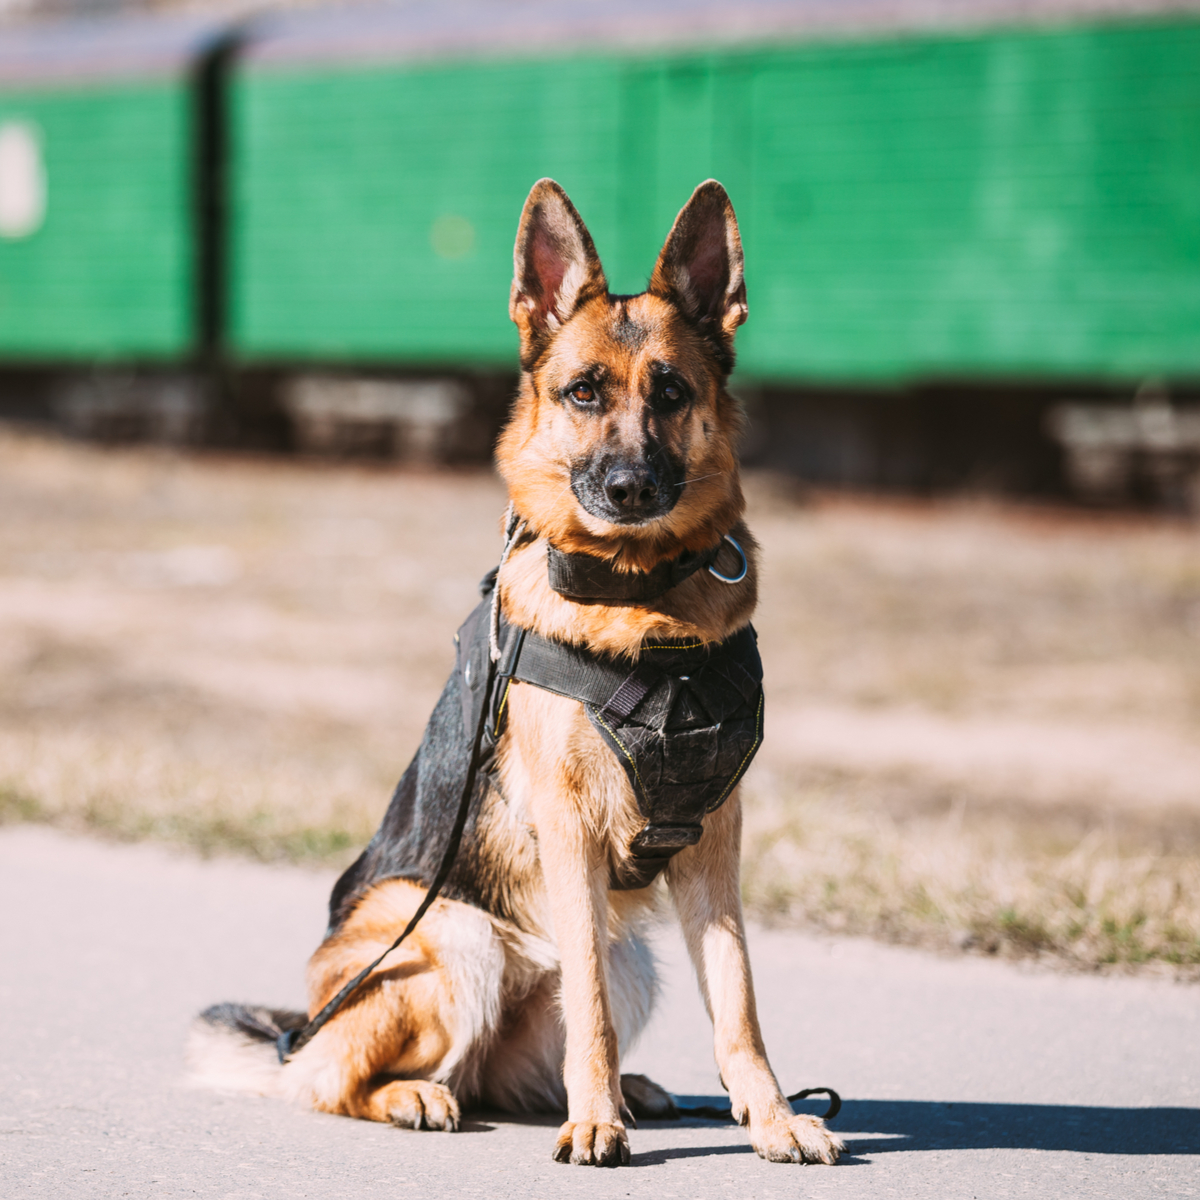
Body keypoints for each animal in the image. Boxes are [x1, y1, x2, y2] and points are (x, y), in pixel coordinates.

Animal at [187, 182, 844, 1166]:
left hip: (629, 956)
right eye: (584, 392)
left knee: (509, 1068)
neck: (643, 602)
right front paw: (596, 1122)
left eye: (672, 393)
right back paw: (425, 1095)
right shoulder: (571, 830)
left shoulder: (715, 844)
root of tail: (299, 1025)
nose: (628, 488)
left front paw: (767, 1117)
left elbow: (737, 1002)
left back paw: (630, 1092)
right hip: (456, 938)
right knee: (337, 1079)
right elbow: (593, 1013)